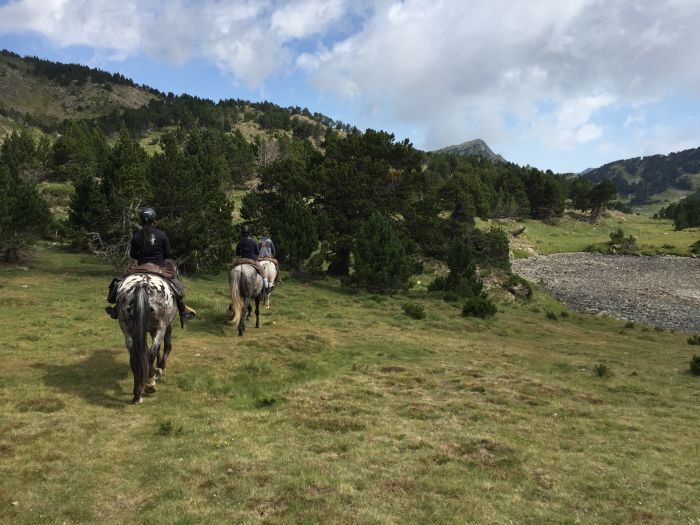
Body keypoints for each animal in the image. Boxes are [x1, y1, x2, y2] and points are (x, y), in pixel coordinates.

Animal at [115, 272, 176, 404]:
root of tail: (141, 285)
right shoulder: (168, 325)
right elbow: (167, 346)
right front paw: (160, 367)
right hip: (160, 328)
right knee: (151, 353)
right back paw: (150, 384)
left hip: (126, 328)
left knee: (135, 356)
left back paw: (137, 394)